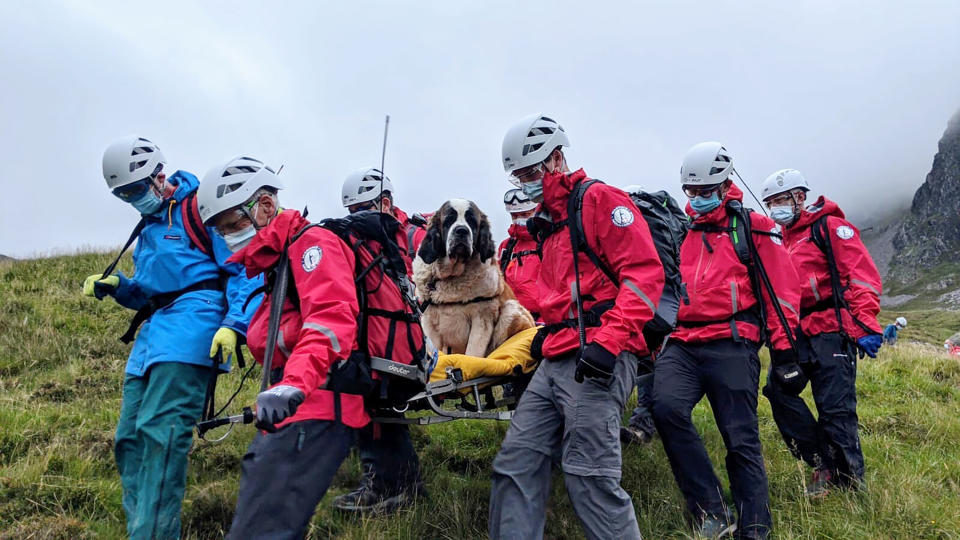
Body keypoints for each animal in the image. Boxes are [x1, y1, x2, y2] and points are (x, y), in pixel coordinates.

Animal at [410, 196, 536, 356]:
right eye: (449, 220)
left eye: (471, 221)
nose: (461, 231)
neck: (453, 276)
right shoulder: (429, 323)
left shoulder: (482, 319)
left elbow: (473, 353)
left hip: (511, 310)